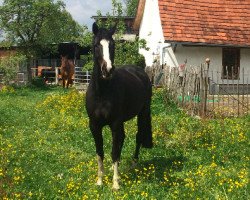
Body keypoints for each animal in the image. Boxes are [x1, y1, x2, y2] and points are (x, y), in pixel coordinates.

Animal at [85, 22, 152, 190]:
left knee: (138, 136)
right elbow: (100, 152)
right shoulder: (94, 126)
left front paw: (115, 183)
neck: (102, 93)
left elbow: (114, 151)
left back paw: (134, 162)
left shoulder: (114, 123)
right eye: (96, 45)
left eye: (112, 45)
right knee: (123, 138)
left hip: (143, 113)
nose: (107, 70)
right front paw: (100, 180)